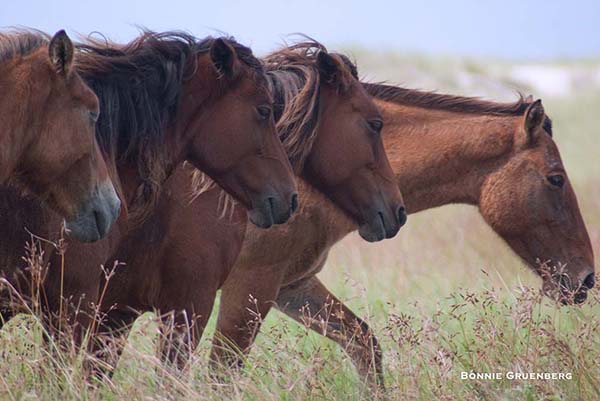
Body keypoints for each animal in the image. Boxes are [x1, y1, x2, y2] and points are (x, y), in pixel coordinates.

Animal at [206, 82, 596, 390]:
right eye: (555, 179)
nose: (586, 279)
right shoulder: (251, 285)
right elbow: (221, 376)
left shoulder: (292, 285)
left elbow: (365, 345)